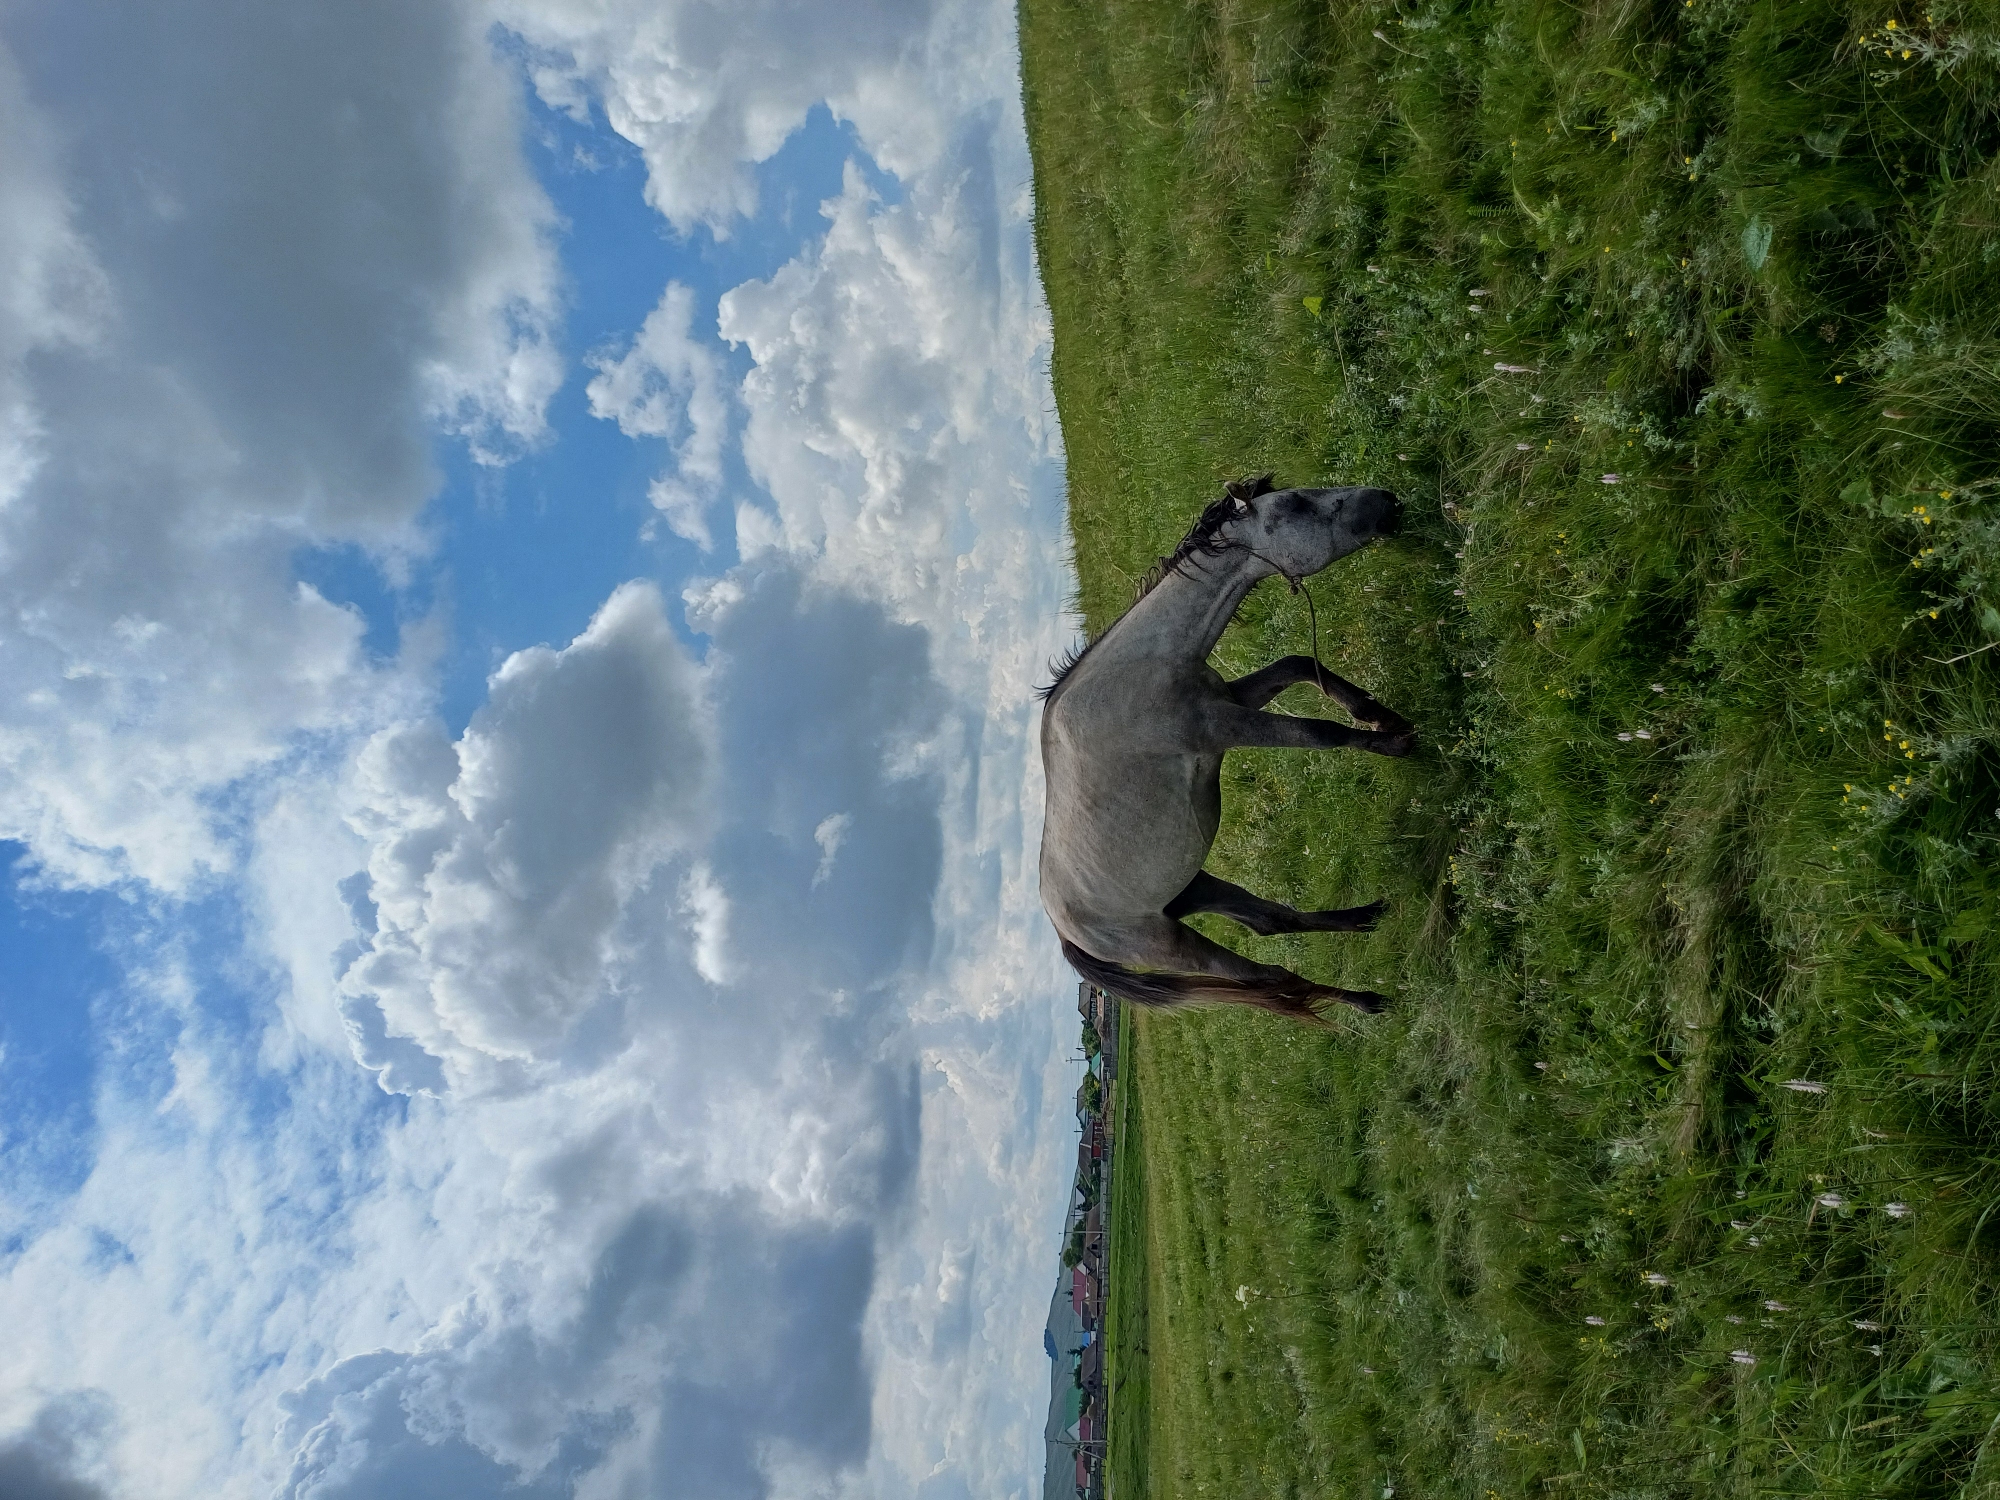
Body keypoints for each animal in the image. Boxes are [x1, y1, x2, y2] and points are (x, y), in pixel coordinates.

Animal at [1037, 474, 1413, 1022]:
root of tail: (1068, 935)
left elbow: (1298, 663)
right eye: (1297, 504)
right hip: (1173, 943)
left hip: (1196, 888)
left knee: (1273, 922)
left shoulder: (1231, 698)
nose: (1387, 500)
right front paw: (1399, 742)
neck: (1139, 670)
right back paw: (1363, 1001)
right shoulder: (1222, 725)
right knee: (1274, 978)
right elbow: (1319, 733)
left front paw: (1380, 713)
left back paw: (1366, 918)